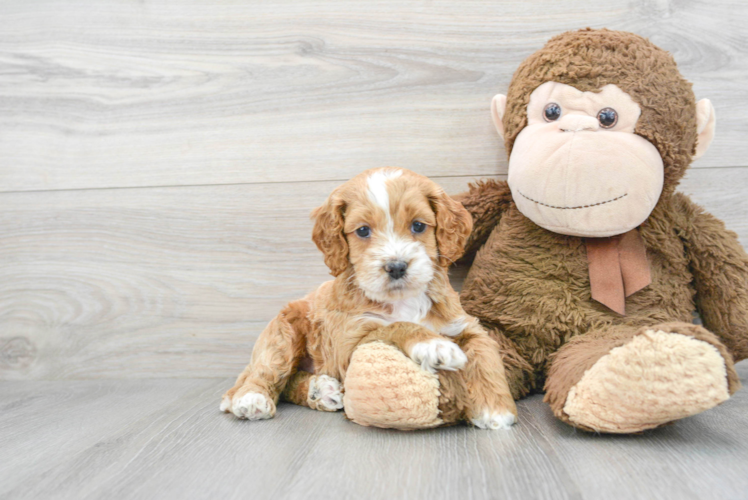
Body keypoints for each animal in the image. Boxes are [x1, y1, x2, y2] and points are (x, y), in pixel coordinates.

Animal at [219, 168, 516, 430]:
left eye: (418, 226)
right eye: (363, 231)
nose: (396, 267)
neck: (403, 300)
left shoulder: (463, 324)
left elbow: (485, 355)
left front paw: (496, 409)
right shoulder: (349, 343)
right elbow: (395, 326)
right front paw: (433, 345)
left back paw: (321, 391)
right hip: (284, 331)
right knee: (270, 369)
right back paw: (253, 397)